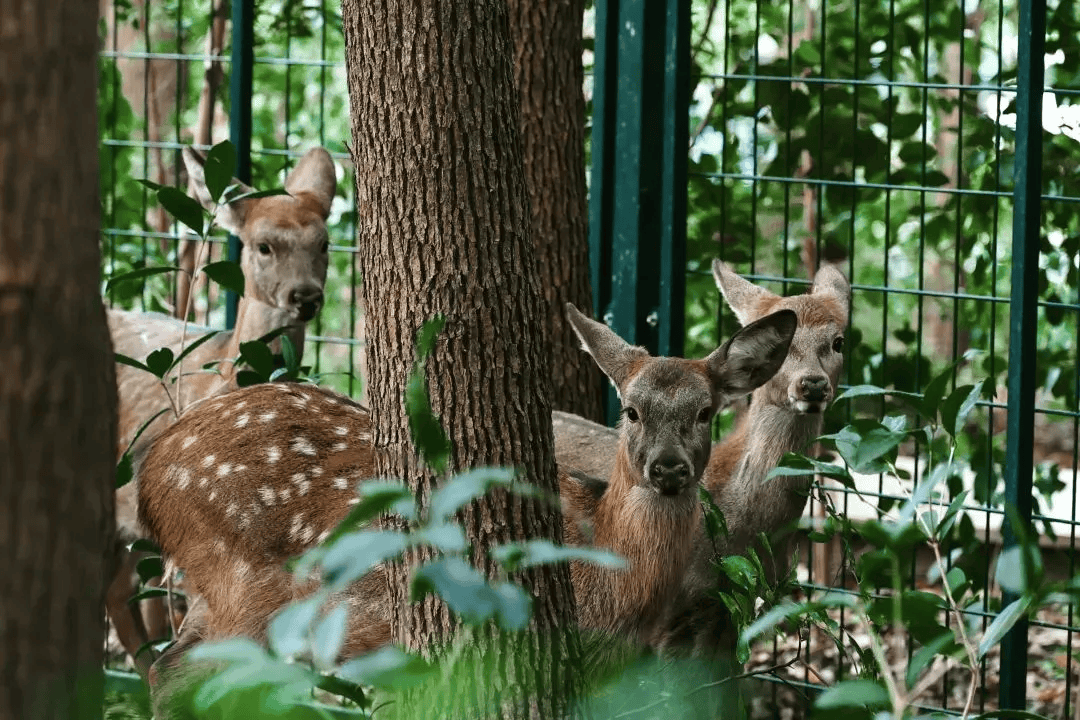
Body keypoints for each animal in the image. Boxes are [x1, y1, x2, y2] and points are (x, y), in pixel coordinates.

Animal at [130, 302, 799, 703]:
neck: (608, 583)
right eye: (632, 411)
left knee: (169, 668)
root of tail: (151, 473)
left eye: (705, 412)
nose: (668, 468)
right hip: (246, 586)